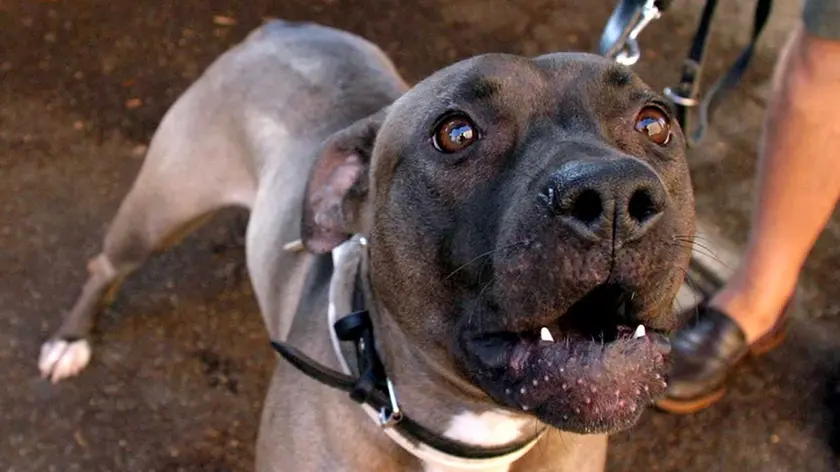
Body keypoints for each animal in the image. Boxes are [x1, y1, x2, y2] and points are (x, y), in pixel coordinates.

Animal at [37, 19, 696, 472]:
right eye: (456, 133)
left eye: (655, 122)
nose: (612, 195)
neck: (473, 439)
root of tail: (281, 27)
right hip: (159, 207)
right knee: (106, 264)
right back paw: (70, 341)